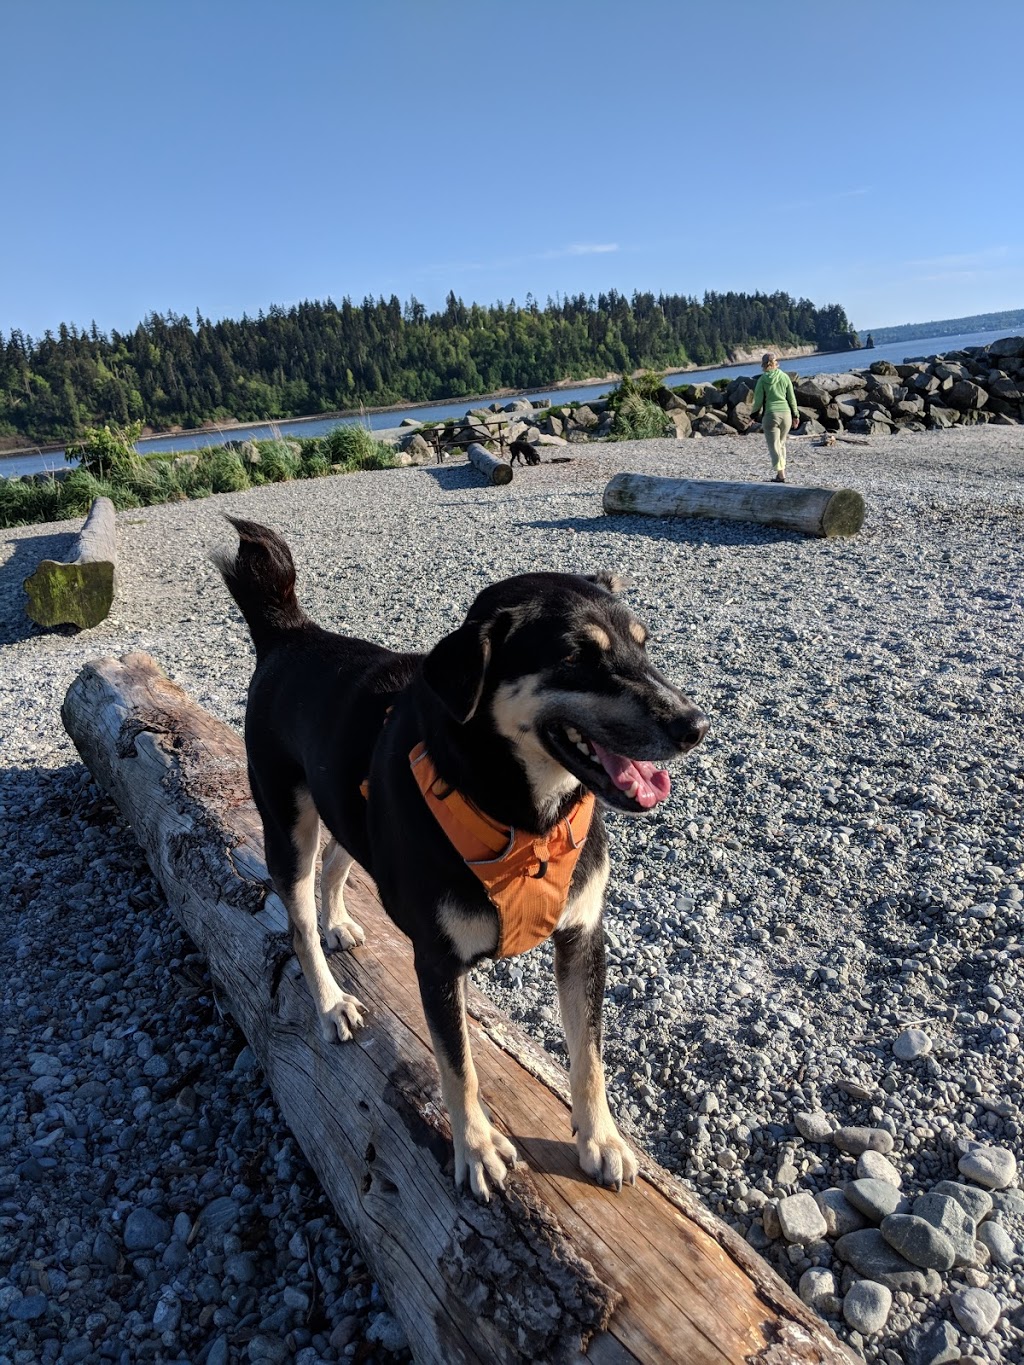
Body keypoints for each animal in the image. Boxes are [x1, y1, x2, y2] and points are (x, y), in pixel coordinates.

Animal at [217, 515, 709, 1201]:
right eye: (576, 658)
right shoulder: (437, 960)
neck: (527, 820)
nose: (696, 726)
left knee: (340, 860)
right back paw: (330, 998)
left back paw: (339, 922)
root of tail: (290, 633)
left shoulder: (583, 936)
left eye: (644, 646)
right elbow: (459, 1067)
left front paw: (601, 1140)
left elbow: (589, 1053)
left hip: (346, 805)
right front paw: (475, 1149)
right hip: (287, 824)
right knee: (298, 921)